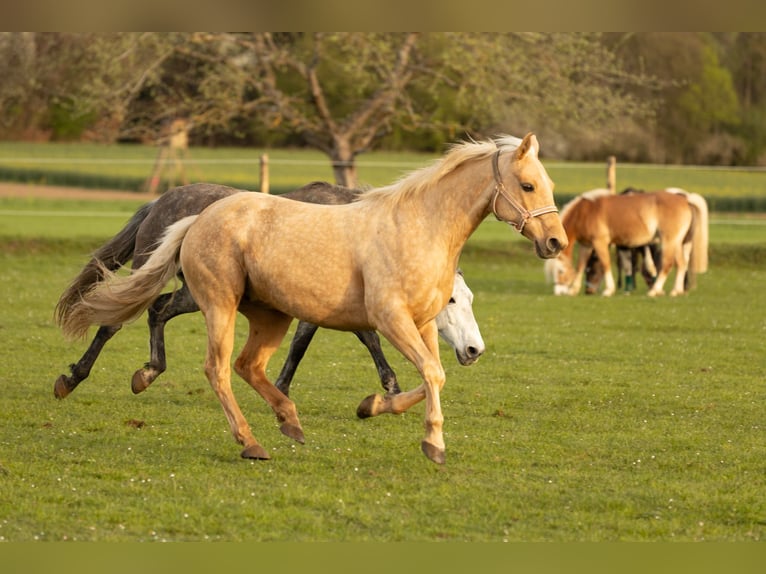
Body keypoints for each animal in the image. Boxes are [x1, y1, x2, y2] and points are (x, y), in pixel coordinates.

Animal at [54, 182, 486, 402]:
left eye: (471, 300)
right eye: (450, 300)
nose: (474, 350)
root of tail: (160, 201)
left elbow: (317, 343)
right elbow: (360, 339)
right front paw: (393, 388)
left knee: (154, 311)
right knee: (123, 319)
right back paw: (82, 377)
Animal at [548, 188, 712, 296]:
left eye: (560, 271)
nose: (558, 292)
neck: (585, 211)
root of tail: (685, 199)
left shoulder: (600, 242)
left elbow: (606, 263)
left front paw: (609, 290)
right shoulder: (586, 245)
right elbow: (581, 266)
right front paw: (573, 290)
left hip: (669, 241)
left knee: (667, 264)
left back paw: (655, 290)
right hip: (677, 243)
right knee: (681, 264)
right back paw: (676, 291)